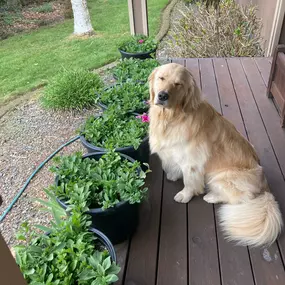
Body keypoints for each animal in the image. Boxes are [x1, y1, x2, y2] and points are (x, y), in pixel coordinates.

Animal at [149, 62, 282, 246]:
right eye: (161, 78)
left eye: (178, 84)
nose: (162, 95)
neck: (172, 117)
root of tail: (266, 189)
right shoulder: (176, 152)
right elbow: (176, 165)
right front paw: (174, 175)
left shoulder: (192, 163)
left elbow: (189, 182)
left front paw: (184, 195)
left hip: (221, 177)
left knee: (240, 198)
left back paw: (211, 197)